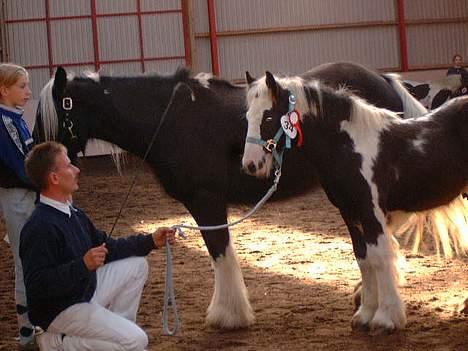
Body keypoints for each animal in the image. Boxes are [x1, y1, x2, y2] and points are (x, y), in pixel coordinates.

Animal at [33, 61, 438, 332]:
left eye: (52, 113)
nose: (34, 159)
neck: (172, 118)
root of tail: (383, 80)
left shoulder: (206, 201)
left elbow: (220, 254)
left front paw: (228, 315)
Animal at [243, 71, 466, 332]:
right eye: (248, 116)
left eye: (268, 116)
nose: (250, 165)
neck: (350, 147)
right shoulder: (349, 213)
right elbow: (363, 259)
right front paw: (365, 314)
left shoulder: (371, 211)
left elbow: (380, 258)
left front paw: (386, 317)